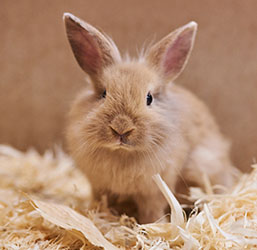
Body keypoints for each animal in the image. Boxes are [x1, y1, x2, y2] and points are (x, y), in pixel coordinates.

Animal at [63, 12, 236, 224]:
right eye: (103, 93)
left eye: (149, 98)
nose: (121, 128)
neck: (122, 154)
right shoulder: (99, 187)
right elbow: (101, 203)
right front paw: (98, 216)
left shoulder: (153, 191)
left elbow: (151, 210)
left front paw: (153, 225)